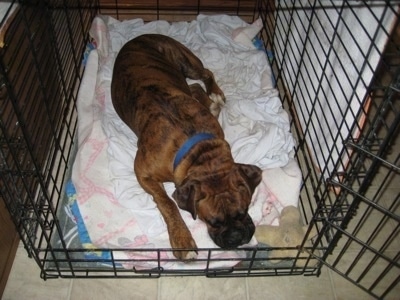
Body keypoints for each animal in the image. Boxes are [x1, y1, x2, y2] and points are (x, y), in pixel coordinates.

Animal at [111, 34, 262, 260]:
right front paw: (182, 239)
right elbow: (167, 202)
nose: (235, 238)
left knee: (205, 74)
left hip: (187, 64)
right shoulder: (142, 172)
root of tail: (138, 37)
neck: (198, 150)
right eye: (212, 222)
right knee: (196, 86)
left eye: (243, 212)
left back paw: (215, 95)